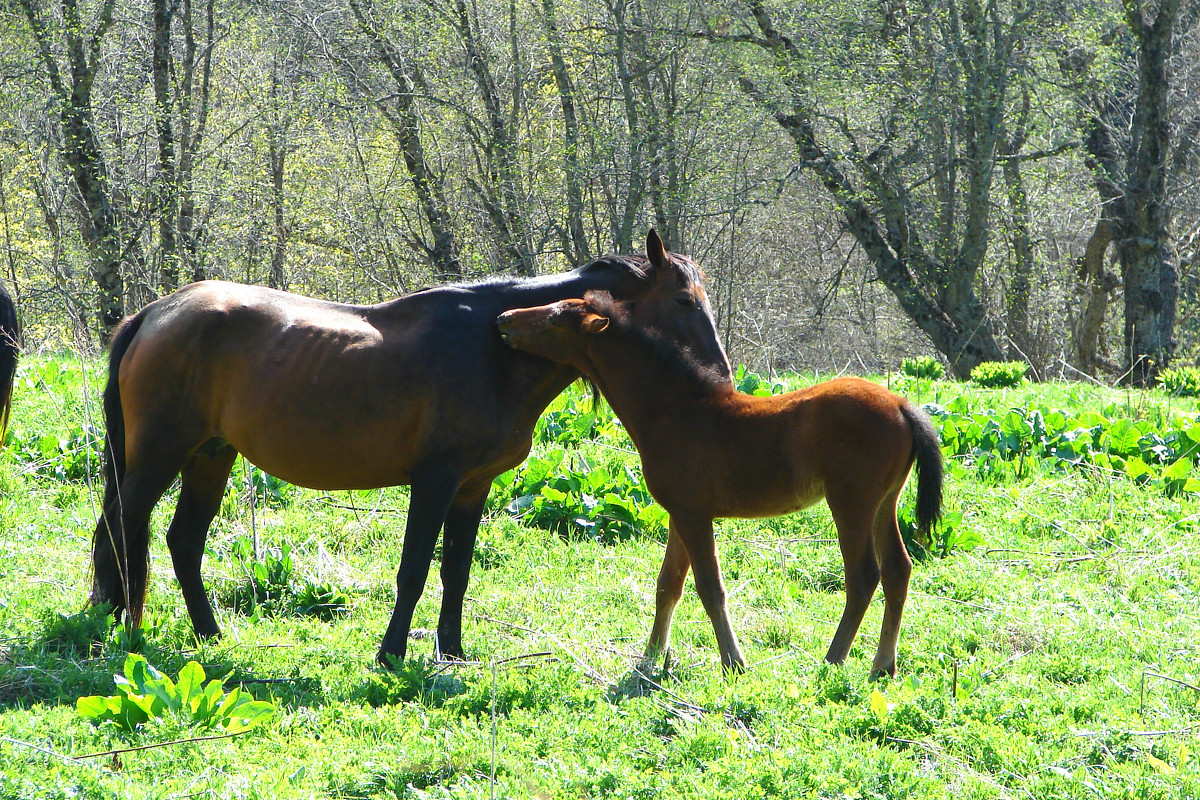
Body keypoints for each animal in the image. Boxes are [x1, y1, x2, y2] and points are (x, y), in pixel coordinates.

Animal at [88, 227, 729, 666]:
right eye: (683, 301)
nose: (722, 376)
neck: (493, 345)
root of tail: (156, 313)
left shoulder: (473, 486)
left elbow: (456, 572)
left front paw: (453, 651)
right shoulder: (435, 480)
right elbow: (415, 568)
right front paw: (392, 651)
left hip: (209, 456)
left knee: (180, 541)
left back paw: (206, 633)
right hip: (158, 457)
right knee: (120, 531)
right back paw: (113, 629)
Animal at [492, 291, 940, 681]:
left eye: (556, 317)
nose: (504, 320)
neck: (674, 410)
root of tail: (903, 405)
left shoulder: (694, 515)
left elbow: (709, 587)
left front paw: (733, 662)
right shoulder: (679, 514)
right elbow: (668, 584)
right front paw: (651, 657)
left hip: (851, 503)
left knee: (864, 576)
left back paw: (833, 659)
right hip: (884, 502)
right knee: (899, 568)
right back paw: (883, 666)